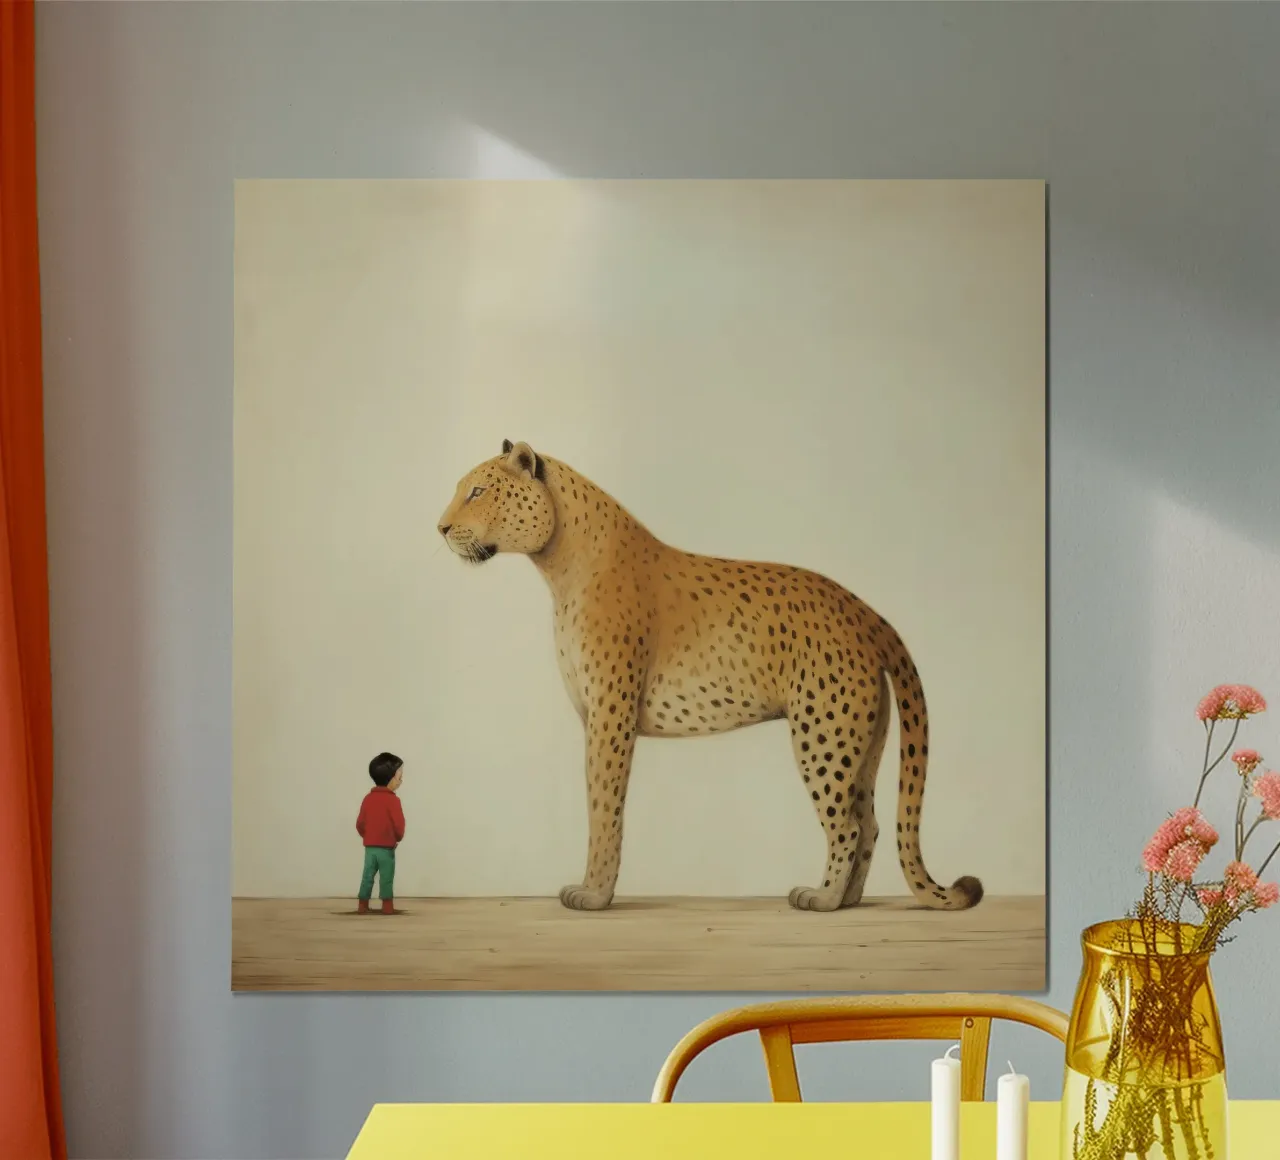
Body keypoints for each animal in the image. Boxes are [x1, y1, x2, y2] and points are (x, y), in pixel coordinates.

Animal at [437, 439, 983, 914]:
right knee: (868, 823)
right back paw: (847, 900)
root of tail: (865, 611)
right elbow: (598, 802)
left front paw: (593, 895)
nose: (440, 528)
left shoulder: (610, 716)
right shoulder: (595, 716)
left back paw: (822, 899)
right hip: (863, 743)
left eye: (478, 491)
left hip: (823, 736)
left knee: (846, 825)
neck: (559, 564)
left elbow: (603, 806)